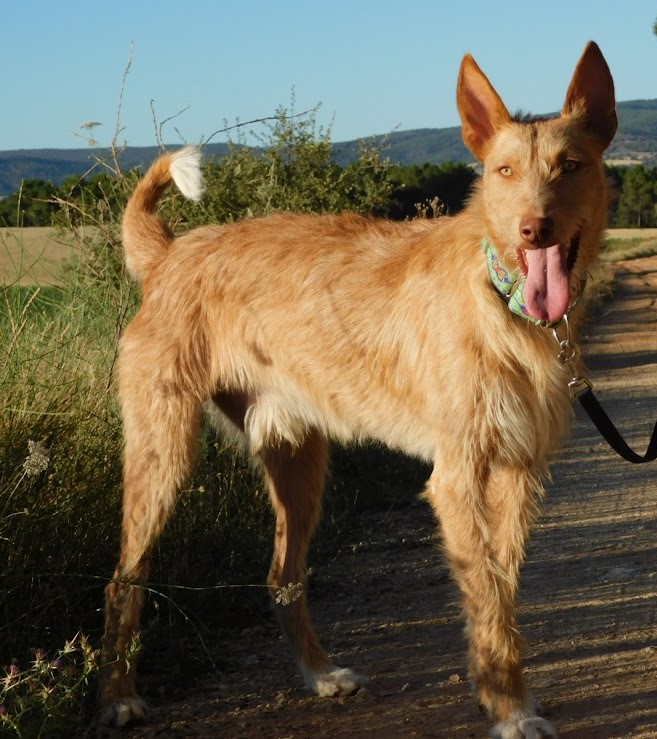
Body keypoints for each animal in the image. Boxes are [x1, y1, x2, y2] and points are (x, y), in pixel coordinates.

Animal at [98, 42, 616, 739]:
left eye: (572, 166)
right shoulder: (458, 479)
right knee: (124, 580)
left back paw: (319, 674)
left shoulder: (516, 473)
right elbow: (487, 598)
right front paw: (511, 710)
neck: (501, 300)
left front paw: (499, 693)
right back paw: (119, 696)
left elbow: (501, 596)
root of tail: (170, 254)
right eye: (504, 171)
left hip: (298, 461)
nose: (535, 229)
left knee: (282, 576)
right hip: (164, 452)